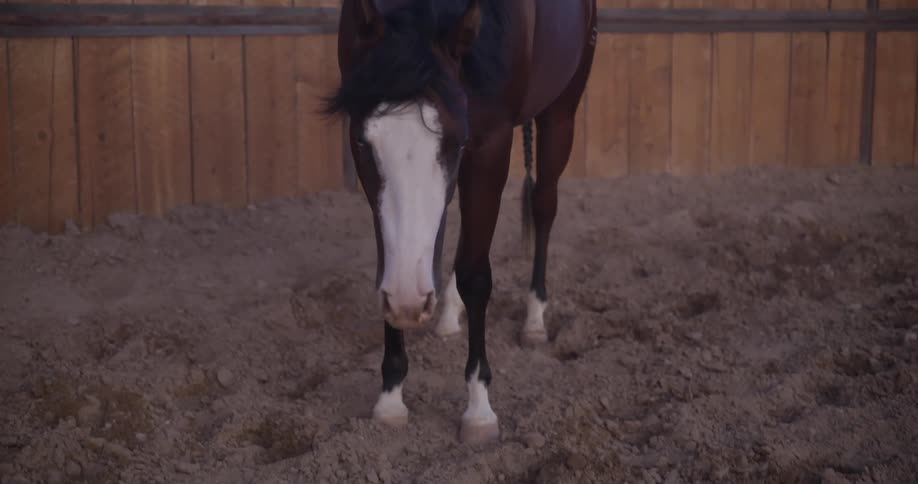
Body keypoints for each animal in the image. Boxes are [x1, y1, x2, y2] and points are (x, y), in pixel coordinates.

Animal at [322, 0, 597, 444]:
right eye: (364, 143)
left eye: (456, 142)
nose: (408, 301)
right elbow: (396, 256)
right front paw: (391, 397)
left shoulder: (490, 144)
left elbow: (476, 276)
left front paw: (478, 409)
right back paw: (449, 310)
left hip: (561, 113)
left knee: (543, 205)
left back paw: (534, 318)